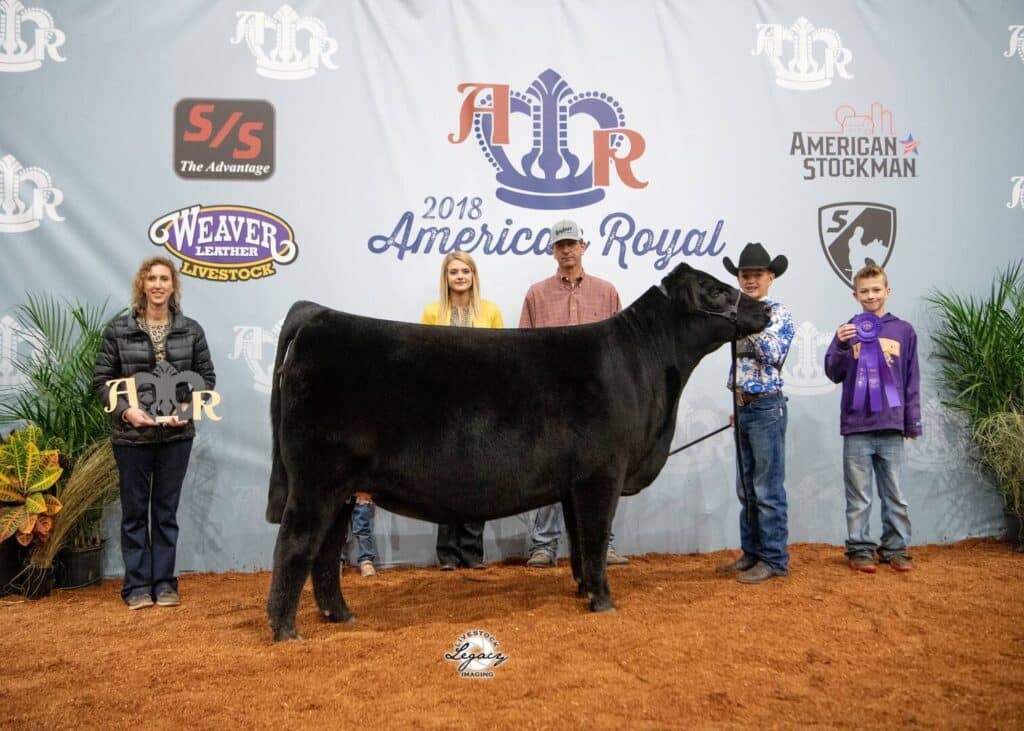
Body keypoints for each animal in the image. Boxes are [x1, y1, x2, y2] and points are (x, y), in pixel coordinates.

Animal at [265, 262, 771, 641]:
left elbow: (580, 544)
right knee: (295, 544)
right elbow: (595, 538)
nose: (763, 308)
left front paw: (584, 590)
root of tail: (319, 314)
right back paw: (285, 629)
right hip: (316, 481)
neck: (642, 365)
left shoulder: (573, 483)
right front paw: (604, 601)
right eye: (715, 289)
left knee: (325, 553)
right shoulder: (602, 474)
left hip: (341, 489)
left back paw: (340, 614)